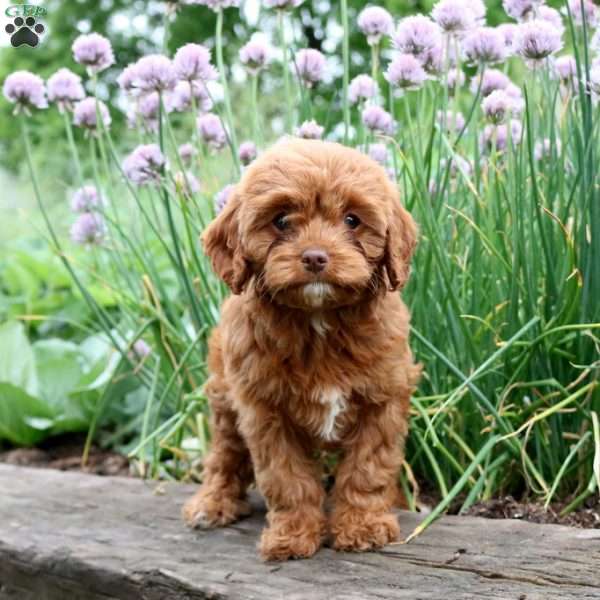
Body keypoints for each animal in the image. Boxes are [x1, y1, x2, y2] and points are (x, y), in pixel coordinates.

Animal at [183, 138, 422, 560]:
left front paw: (363, 526)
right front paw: (292, 535)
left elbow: (368, 467)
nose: (314, 257)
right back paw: (211, 503)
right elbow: (286, 477)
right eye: (280, 221)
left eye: (352, 220)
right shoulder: (265, 413)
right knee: (224, 453)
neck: (319, 320)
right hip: (224, 397)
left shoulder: (382, 399)